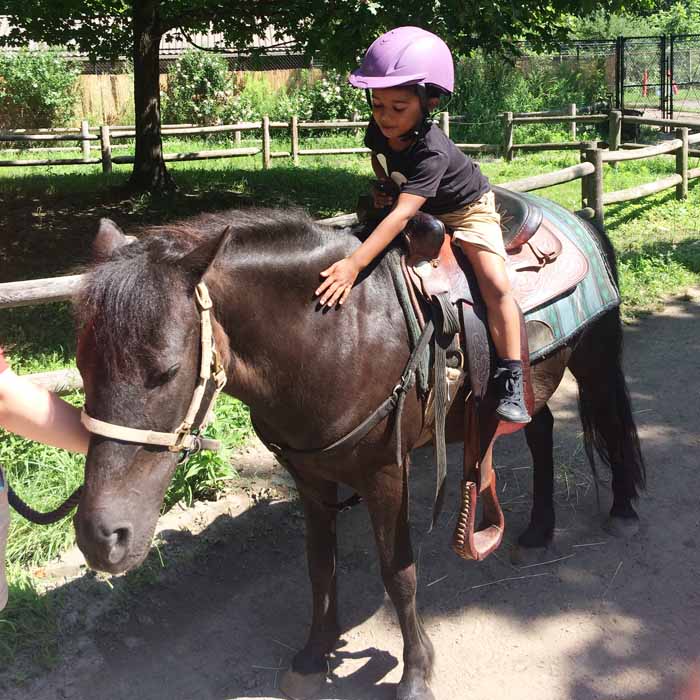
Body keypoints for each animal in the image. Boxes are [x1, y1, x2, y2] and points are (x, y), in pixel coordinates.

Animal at [73, 206, 645, 700]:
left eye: (167, 370)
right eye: (81, 367)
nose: (102, 537)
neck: (335, 335)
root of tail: (580, 217)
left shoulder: (387, 473)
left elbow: (398, 572)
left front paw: (415, 674)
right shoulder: (310, 477)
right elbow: (319, 567)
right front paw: (313, 656)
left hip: (592, 359)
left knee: (611, 424)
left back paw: (620, 509)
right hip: (534, 384)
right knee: (540, 432)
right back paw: (537, 532)